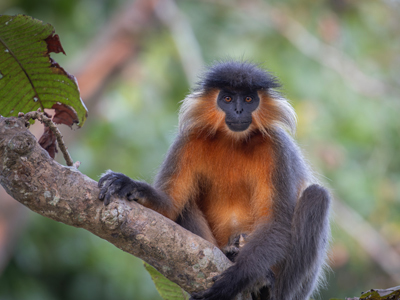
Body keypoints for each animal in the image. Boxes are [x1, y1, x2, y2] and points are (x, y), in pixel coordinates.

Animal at [99, 61, 332, 300]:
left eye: (248, 99)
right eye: (227, 99)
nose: (238, 110)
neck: (233, 141)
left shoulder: (278, 149)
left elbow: (276, 224)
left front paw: (234, 280)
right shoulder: (189, 140)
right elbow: (170, 206)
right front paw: (129, 185)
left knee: (317, 196)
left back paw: (268, 285)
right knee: (185, 204)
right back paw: (230, 253)